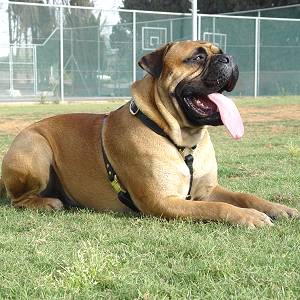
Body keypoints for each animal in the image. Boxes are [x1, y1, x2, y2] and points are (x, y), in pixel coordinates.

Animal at [1, 40, 298, 227]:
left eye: (220, 51)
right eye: (198, 57)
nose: (230, 58)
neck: (182, 140)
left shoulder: (207, 189)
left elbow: (245, 196)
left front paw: (277, 208)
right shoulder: (162, 201)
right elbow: (218, 207)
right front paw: (250, 217)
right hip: (35, 147)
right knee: (17, 200)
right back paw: (48, 203)